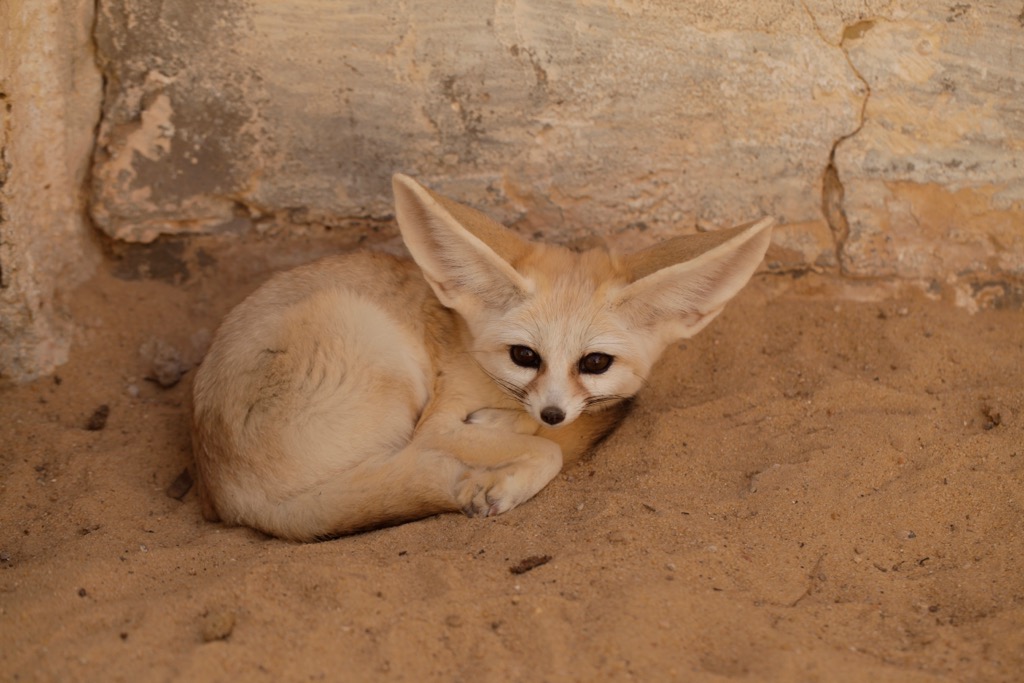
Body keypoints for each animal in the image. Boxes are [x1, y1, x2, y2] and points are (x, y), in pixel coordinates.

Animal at [191, 174, 774, 541]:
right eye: (523, 355)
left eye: (595, 364)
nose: (553, 412)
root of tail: (233, 496)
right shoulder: (438, 422)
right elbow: (549, 450)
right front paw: (510, 464)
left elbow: (548, 435)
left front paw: (517, 430)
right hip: (380, 359)